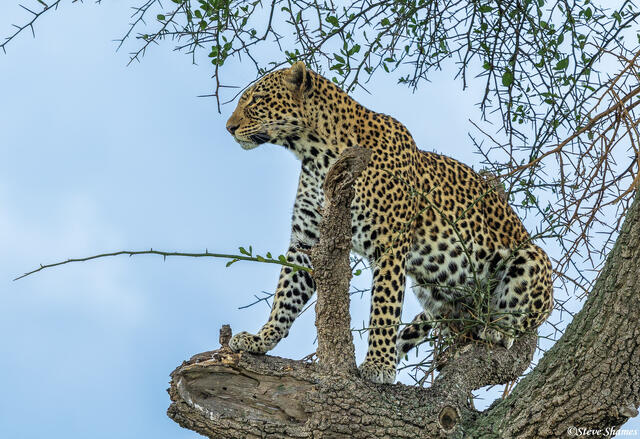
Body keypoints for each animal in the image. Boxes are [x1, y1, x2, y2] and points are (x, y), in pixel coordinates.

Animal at [224, 61, 554, 384]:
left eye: (256, 100)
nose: (229, 128)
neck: (316, 155)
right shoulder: (307, 240)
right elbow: (285, 295)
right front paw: (261, 339)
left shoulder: (390, 244)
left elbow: (384, 308)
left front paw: (378, 365)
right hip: (432, 289)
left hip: (533, 260)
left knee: (520, 317)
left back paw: (498, 328)